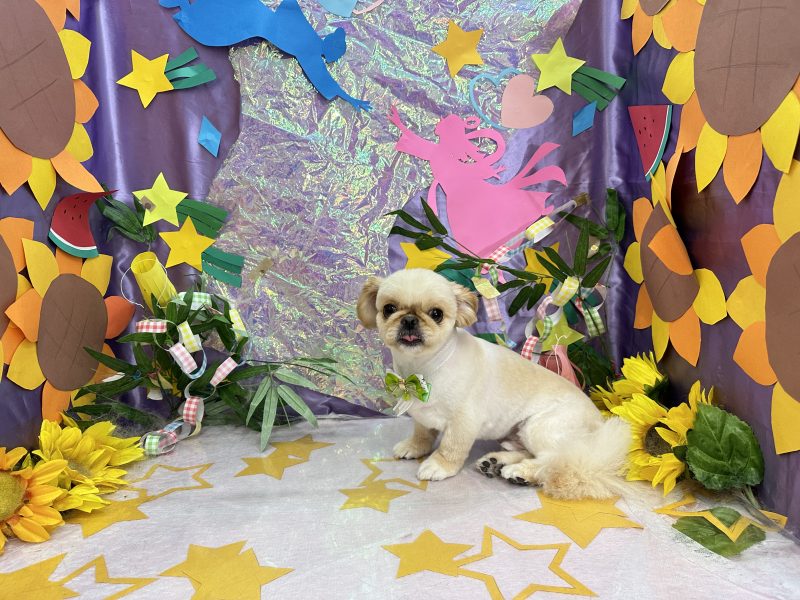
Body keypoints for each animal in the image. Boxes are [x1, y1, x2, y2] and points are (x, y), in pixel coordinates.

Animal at [357, 268, 630, 499]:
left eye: (436, 314)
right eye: (389, 309)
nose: (410, 320)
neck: (424, 369)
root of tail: (600, 423)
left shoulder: (464, 421)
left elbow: (450, 446)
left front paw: (438, 466)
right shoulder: (423, 415)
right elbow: (423, 433)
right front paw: (415, 447)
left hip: (541, 427)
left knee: (557, 459)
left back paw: (520, 472)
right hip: (517, 433)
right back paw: (497, 462)